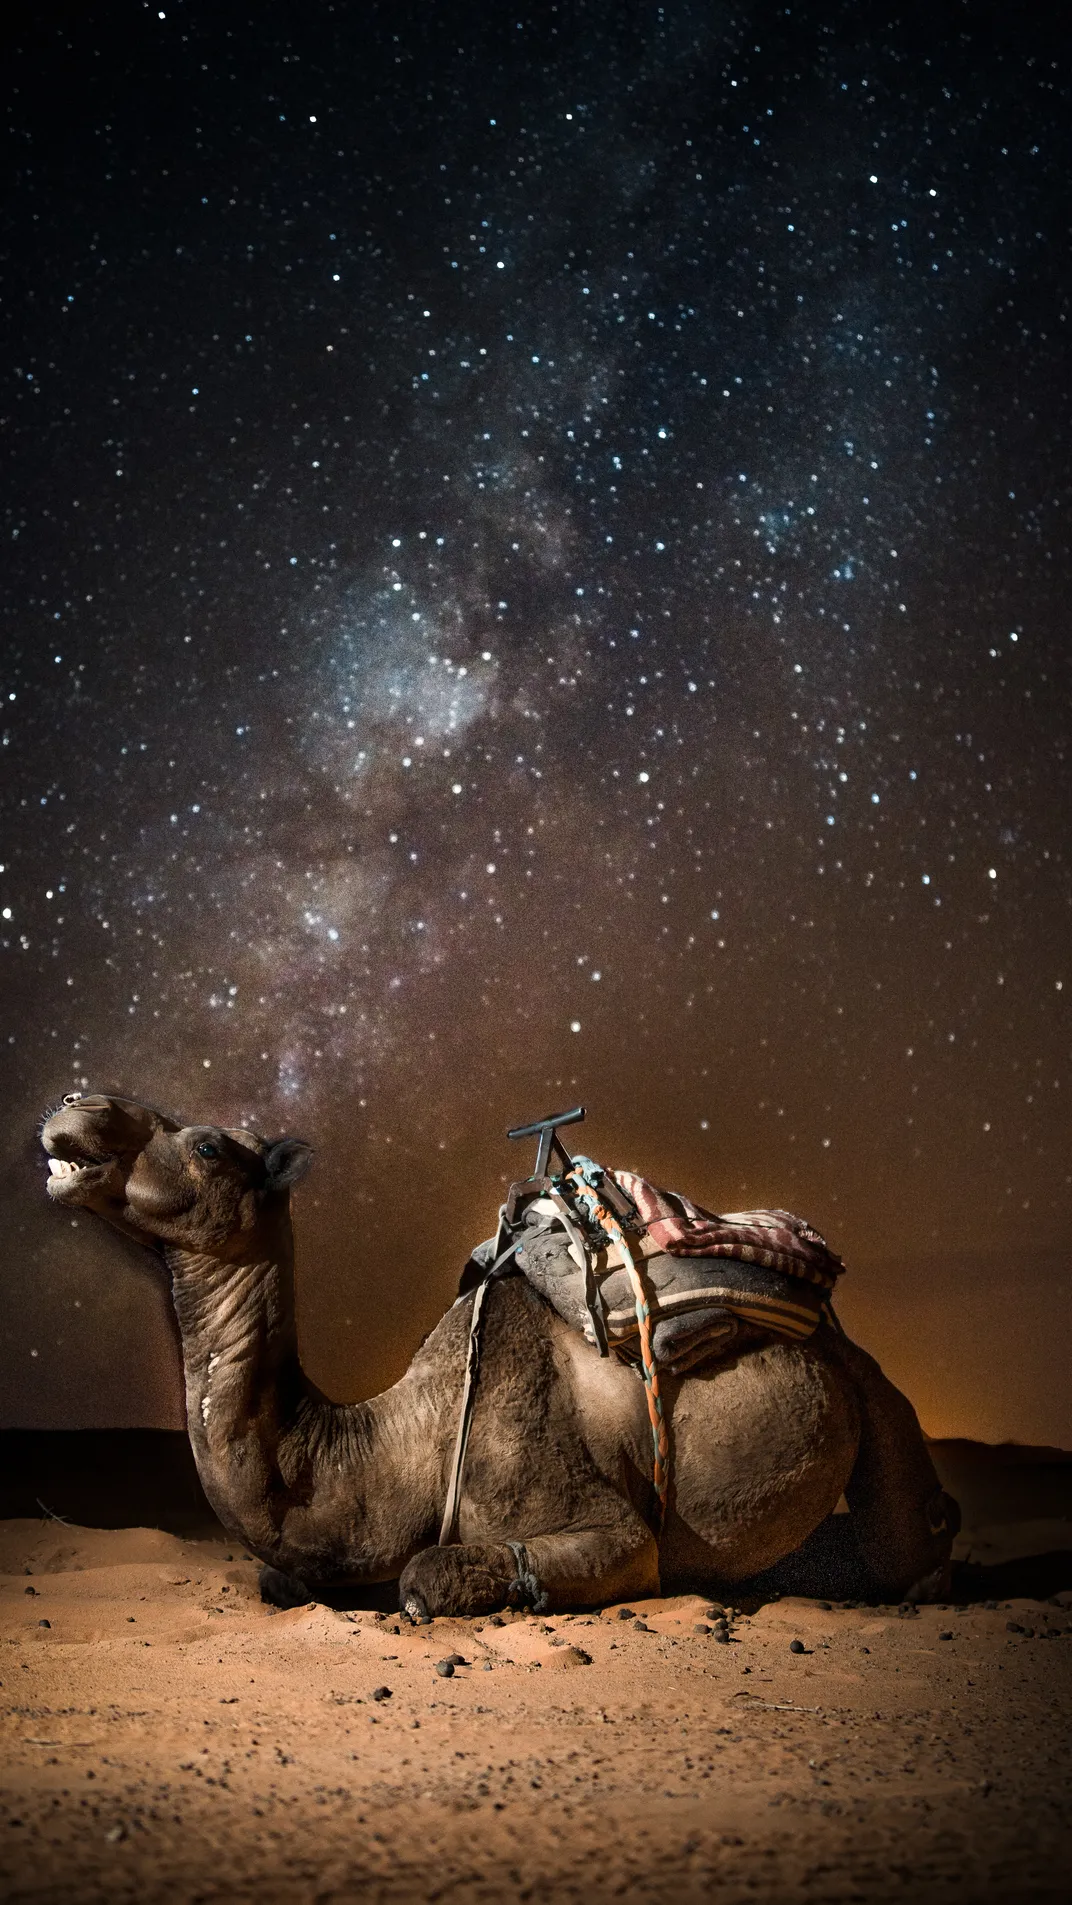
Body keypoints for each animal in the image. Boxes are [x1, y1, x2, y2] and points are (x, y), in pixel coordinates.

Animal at [40, 1093, 958, 1615]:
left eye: (205, 1146)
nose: (78, 1102)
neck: (404, 1442)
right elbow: (280, 1581)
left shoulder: (613, 1529)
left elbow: (423, 1579)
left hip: (874, 1393)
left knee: (905, 1537)